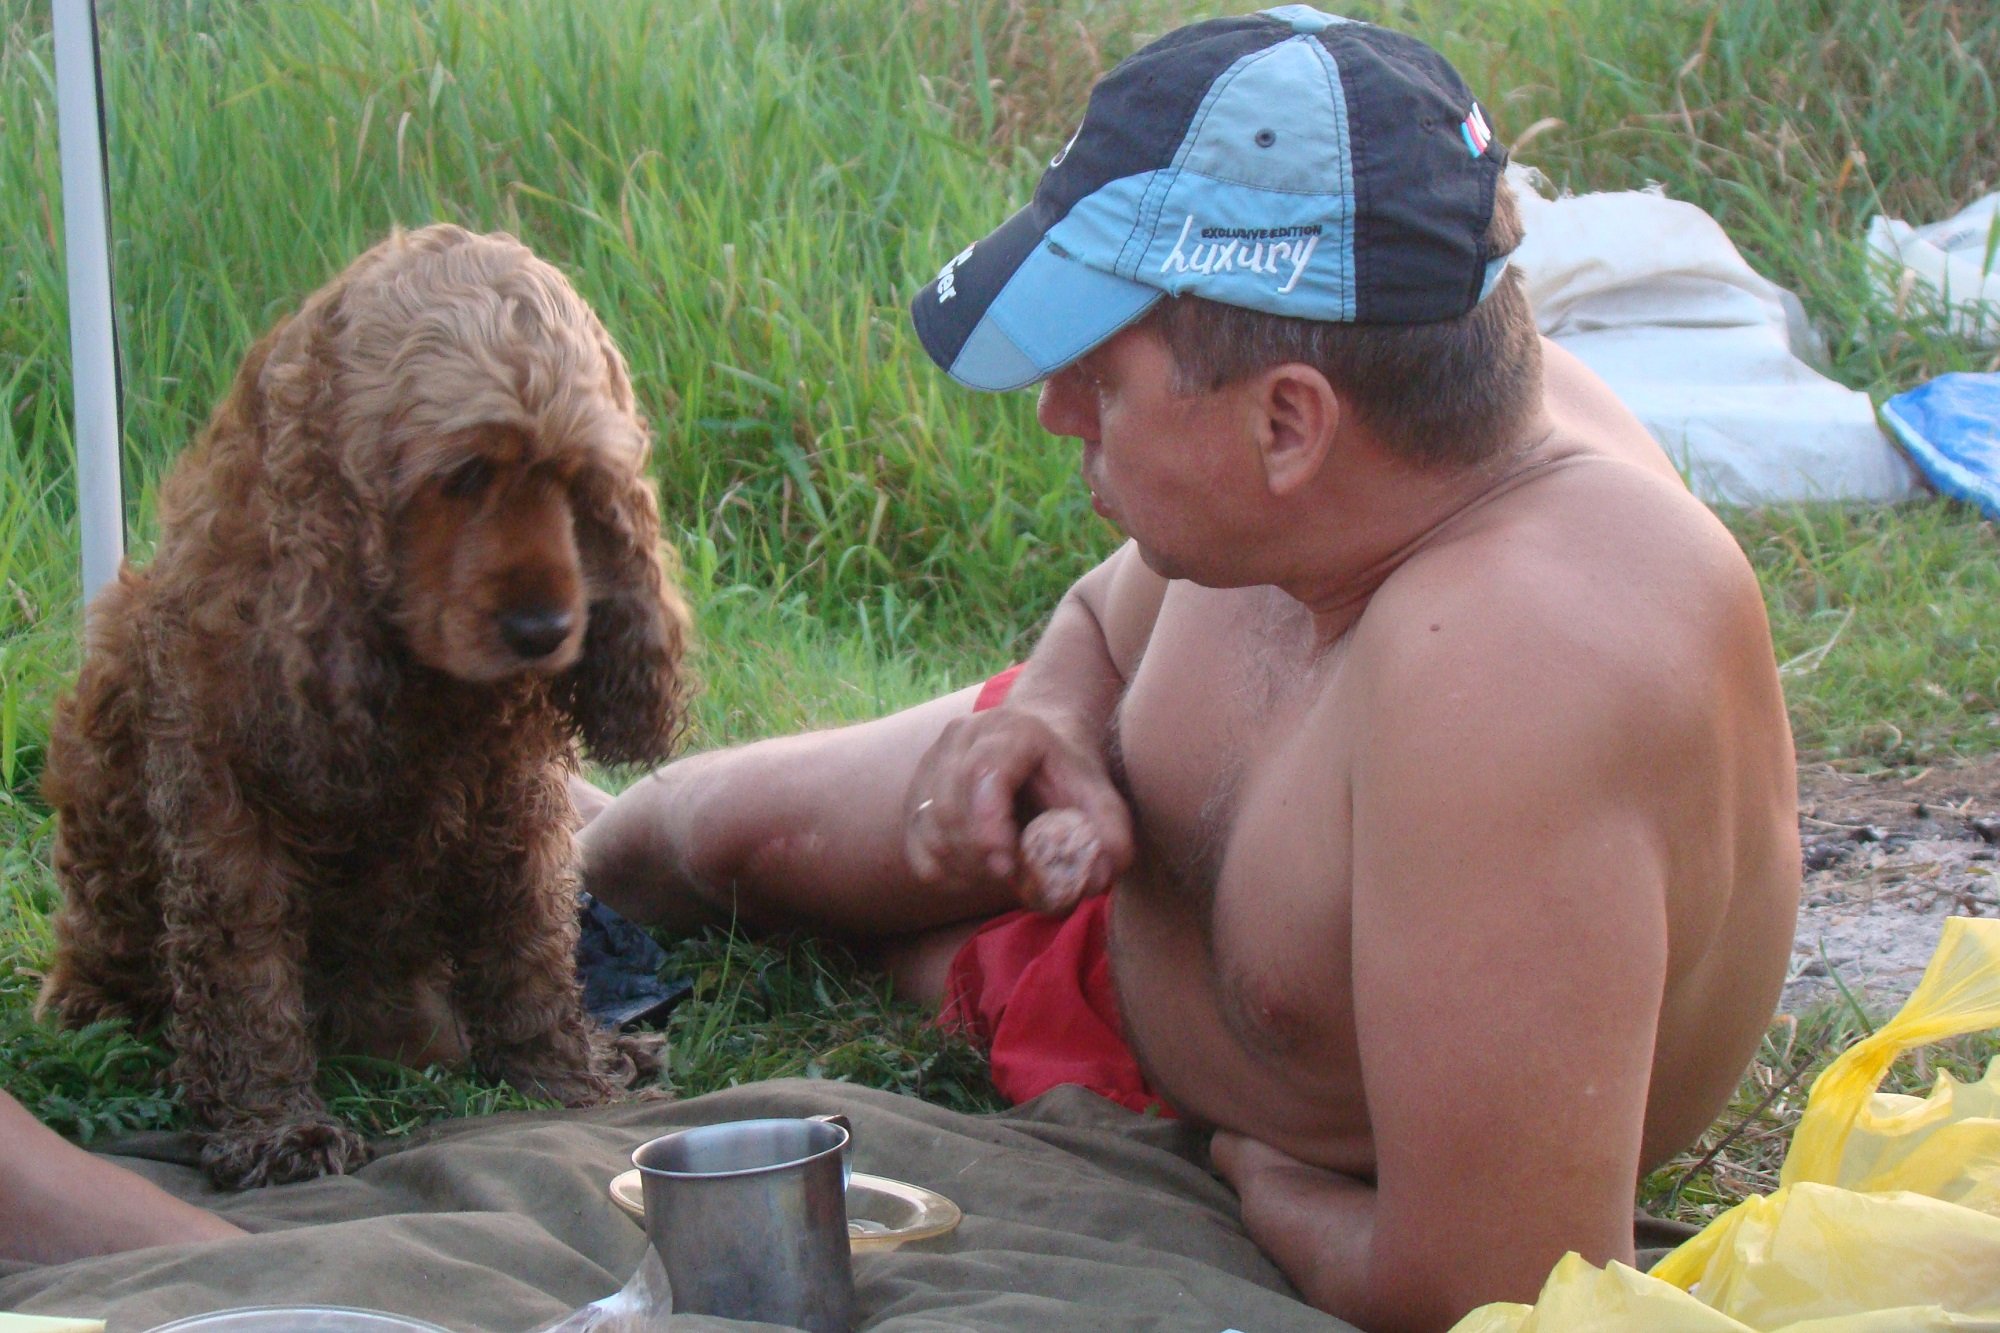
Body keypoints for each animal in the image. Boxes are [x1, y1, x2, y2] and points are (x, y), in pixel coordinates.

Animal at [38, 224, 690, 1188]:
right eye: (464, 474)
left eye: (577, 476)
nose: (545, 629)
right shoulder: (224, 791)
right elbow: (245, 970)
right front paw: (277, 1125)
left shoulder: (512, 793)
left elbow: (527, 943)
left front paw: (566, 1076)